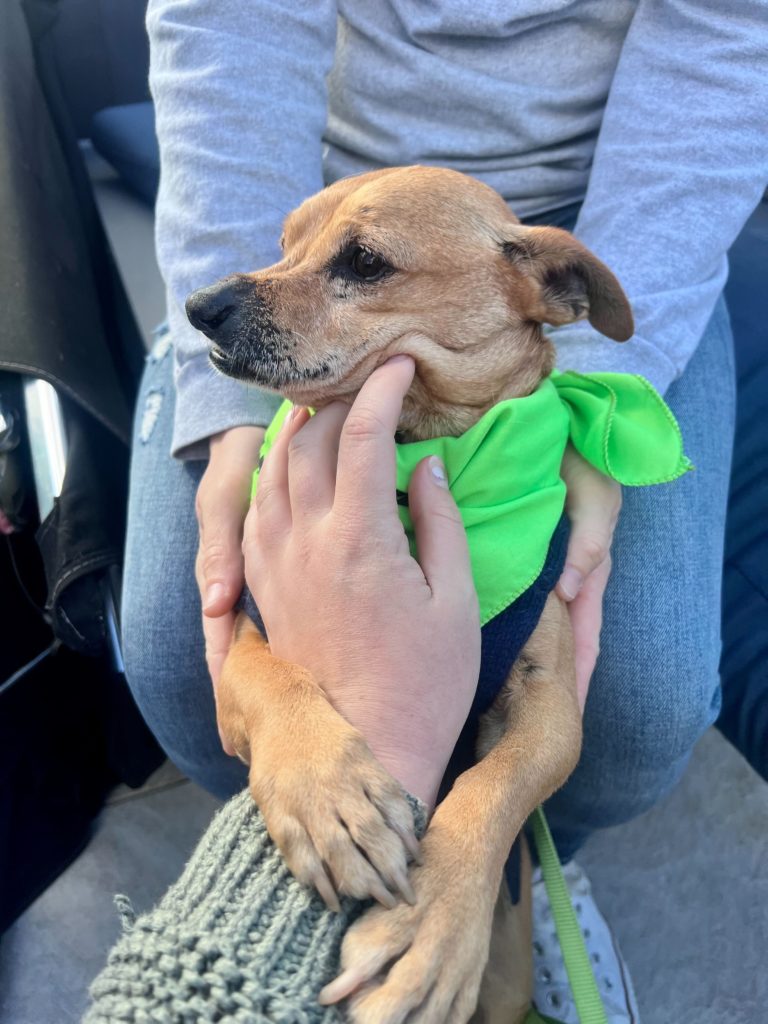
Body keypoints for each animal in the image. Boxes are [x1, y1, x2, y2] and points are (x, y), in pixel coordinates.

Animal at [188, 163, 638, 1019]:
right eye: (284, 243)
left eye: (364, 262)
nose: (199, 306)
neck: (421, 456)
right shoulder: (238, 653)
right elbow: (276, 679)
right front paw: (328, 792)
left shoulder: (554, 710)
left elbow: (494, 786)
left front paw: (434, 921)